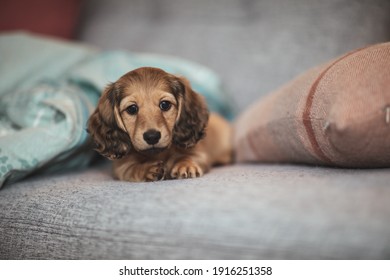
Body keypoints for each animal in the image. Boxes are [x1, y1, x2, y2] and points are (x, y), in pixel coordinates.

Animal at [87, 67, 233, 182]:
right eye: (132, 109)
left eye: (165, 105)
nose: (152, 136)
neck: (158, 154)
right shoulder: (121, 166)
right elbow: (132, 168)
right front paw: (146, 169)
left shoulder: (200, 153)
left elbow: (188, 156)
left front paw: (184, 164)